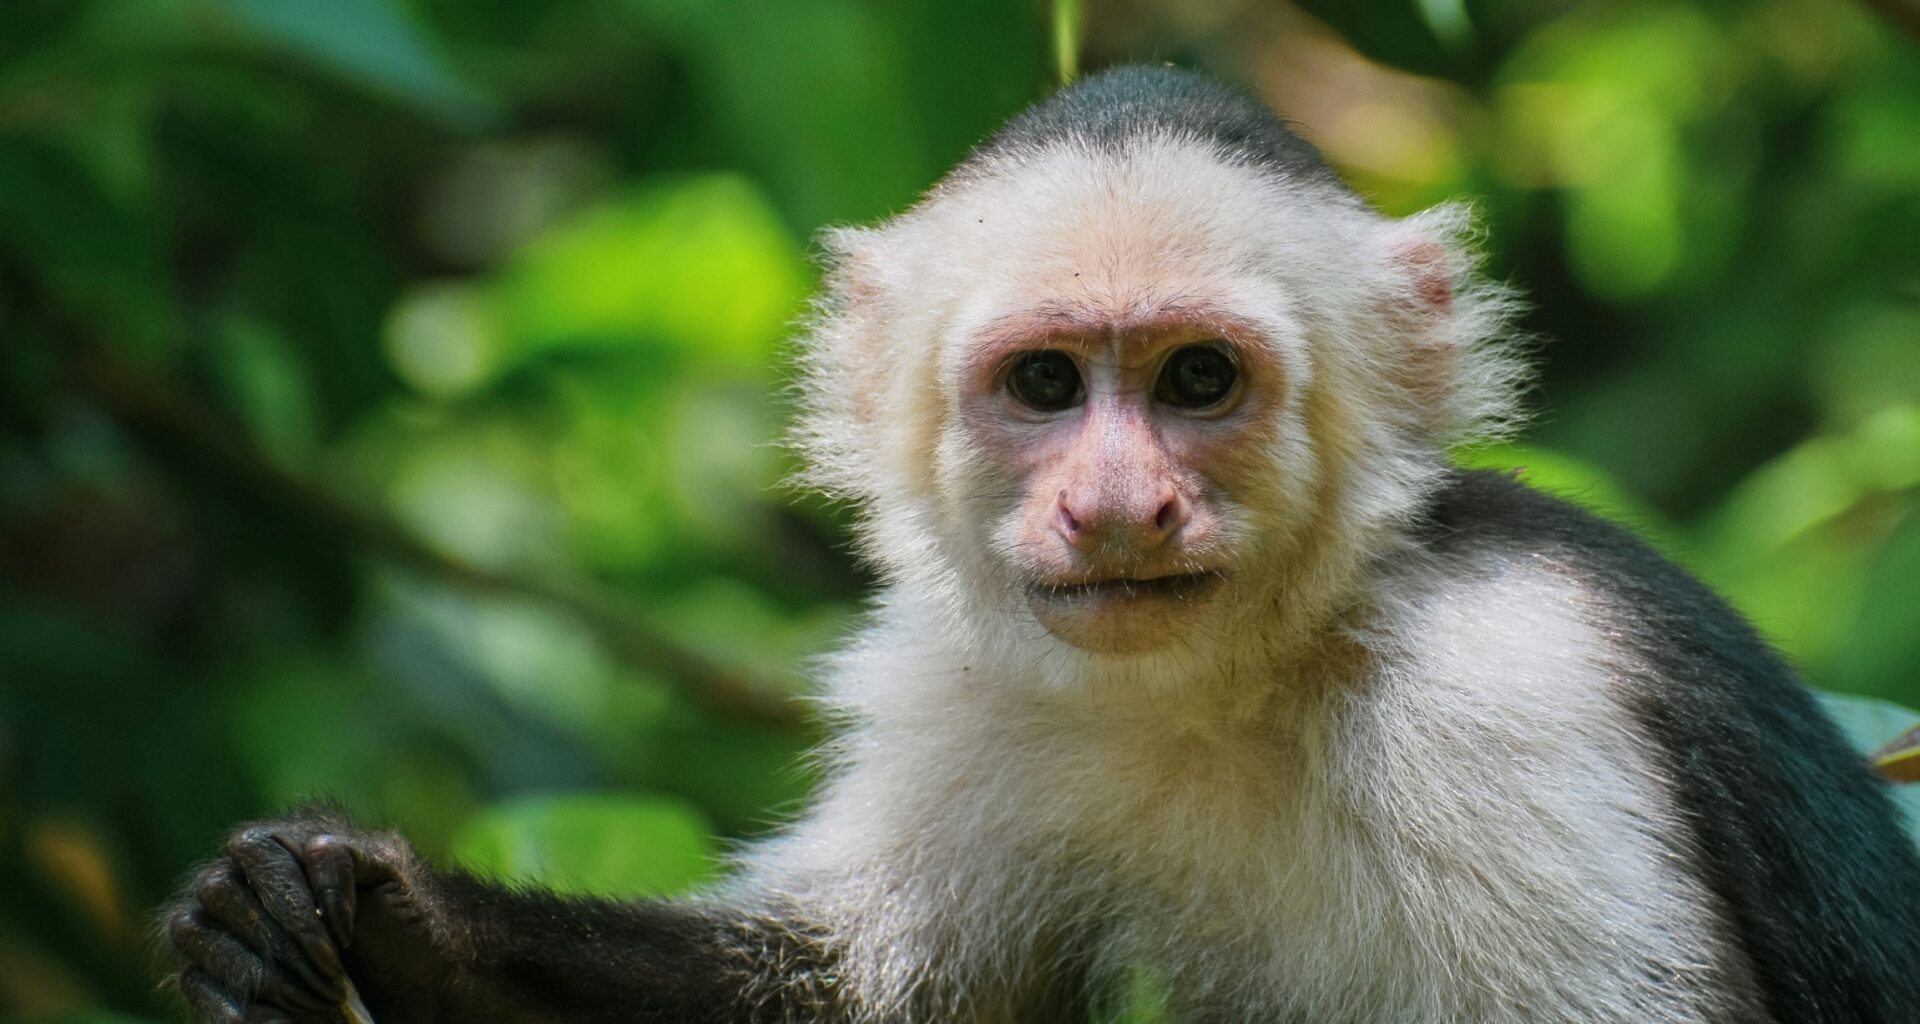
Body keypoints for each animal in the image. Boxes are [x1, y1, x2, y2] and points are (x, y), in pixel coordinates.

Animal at [159, 65, 1920, 1024]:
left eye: (1199, 381)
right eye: (1047, 386)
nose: (1115, 506)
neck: (1234, 684)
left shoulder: (1503, 691)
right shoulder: (968, 686)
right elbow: (845, 989)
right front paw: (361, 909)